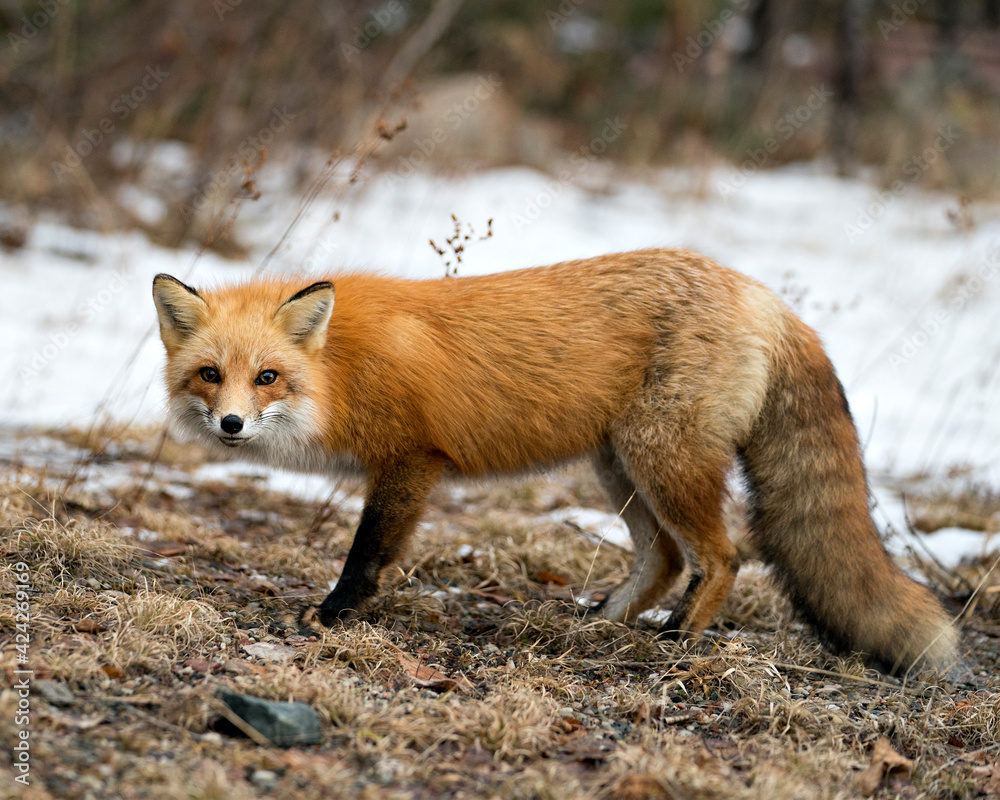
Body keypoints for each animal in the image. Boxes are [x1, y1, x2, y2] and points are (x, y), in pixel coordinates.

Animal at [152, 248, 959, 675]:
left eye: (267, 377)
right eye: (209, 375)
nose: (230, 424)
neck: (342, 369)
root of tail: (761, 293)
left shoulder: (411, 460)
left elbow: (367, 555)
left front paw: (331, 616)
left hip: (661, 461)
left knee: (724, 557)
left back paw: (675, 640)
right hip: (620, 468)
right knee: (666, 559)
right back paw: (599, 624)